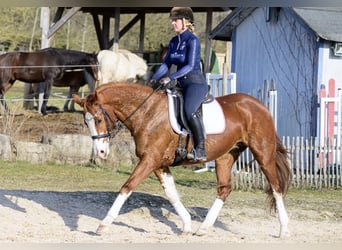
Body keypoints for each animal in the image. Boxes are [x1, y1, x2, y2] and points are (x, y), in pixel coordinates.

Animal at [73, 82, 292, 238]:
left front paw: (103, 224)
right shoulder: (158, 164)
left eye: (98, 119)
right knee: (224, 189)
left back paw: (284, 229)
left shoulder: (150, 160)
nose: (101, 152)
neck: (148, 112)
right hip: (226, 156)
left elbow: (127, 187)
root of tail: (259, 105)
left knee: (275, 186)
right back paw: (203, 227)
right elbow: (171, 194)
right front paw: (186, 224)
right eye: (86, 121)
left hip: (263, 154)